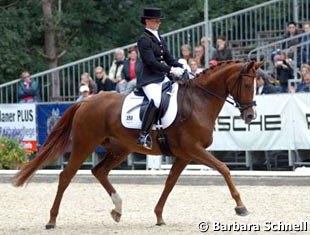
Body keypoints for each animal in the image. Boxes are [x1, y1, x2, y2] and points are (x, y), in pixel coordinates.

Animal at [13, 60, 260, 228]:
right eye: (247, 84)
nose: (250, 116)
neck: (198, 101)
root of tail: (87, 101)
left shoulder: (184, 155)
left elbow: (170, 182)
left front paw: (159, 215)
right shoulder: (193, 149)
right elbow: (223, 168)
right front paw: (241, 206)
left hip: (120, 149)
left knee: (99, 171)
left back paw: (117, 209)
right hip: (85, 144)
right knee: (66, 176)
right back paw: (52, 220)